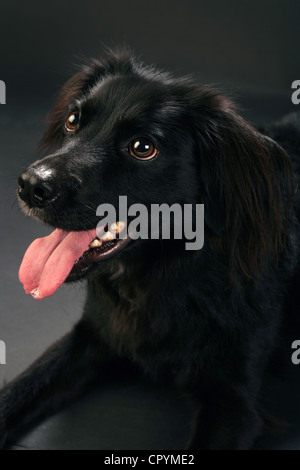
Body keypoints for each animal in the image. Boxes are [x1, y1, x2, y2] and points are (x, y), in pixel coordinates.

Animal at [0, 49, 300, 450]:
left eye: (143, 148)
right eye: (73, 121)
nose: (31, 185)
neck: (162, 277)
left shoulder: (234, 402)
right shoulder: (92, 334)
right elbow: (19, 390)